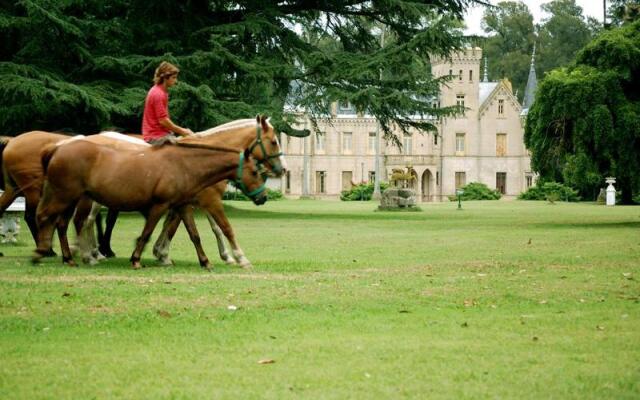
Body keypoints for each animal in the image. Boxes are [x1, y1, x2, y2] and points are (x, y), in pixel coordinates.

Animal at [33, 136, 268, 270]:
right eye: (255, 172)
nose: (263, 197)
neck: (183, 164)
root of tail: (56, 149)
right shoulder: (160, 206)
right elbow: (147, 232)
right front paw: (136, 258)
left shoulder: (183, 207)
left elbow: (195, 235)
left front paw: (205, 261)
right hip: (64, 197)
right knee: (45, 216)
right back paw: (43, 253)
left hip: (70, 199)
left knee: (61, 224)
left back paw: (68, 257)